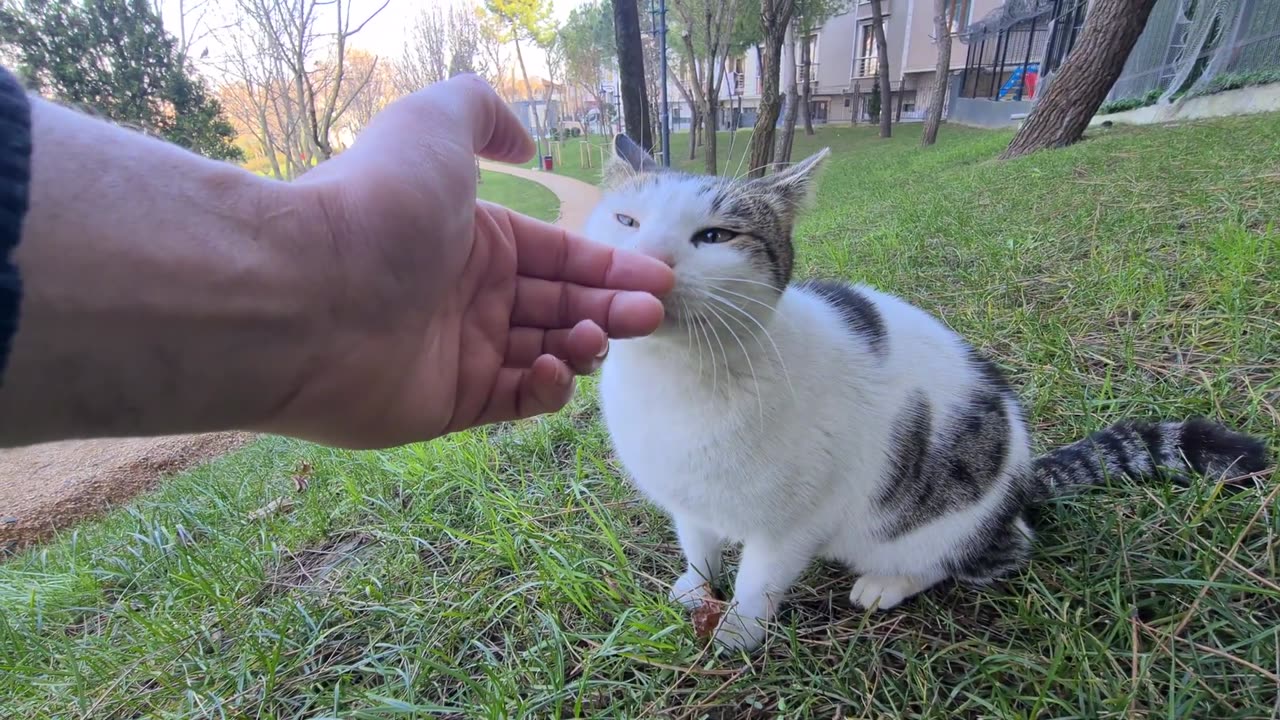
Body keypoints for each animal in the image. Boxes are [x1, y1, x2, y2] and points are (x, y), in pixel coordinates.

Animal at [586, 133, 1269, 650]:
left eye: (715, 237)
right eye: (626, 220)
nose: (649, 260)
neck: (676, 381)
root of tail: (1022, 475)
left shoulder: (794, 525)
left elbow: (759, 583)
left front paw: (739, 630)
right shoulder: (687, 500)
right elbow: (699, 546)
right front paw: (695, 584)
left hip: (932, 517)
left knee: (1003, 548)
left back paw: (888, 582)